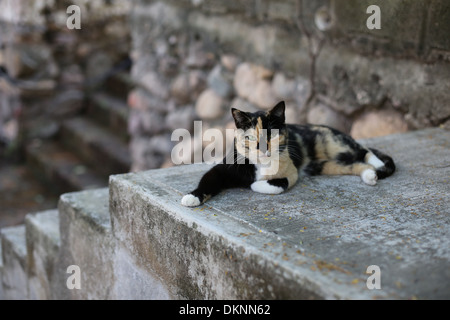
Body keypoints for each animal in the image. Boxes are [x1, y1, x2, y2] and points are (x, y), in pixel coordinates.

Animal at [179, 101, 394, 209]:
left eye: (271, 134)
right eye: (250, 137)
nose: (262, 149)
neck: (260, 166)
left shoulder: (291, 172)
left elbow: (277, 184)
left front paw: (254, 184)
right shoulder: (223, 168)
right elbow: (208, 180)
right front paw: (191, 197)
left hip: (335, 144)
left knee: (363, 151)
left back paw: (377, 166)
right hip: (325, 165)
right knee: (355, 164)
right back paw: (370, 175)